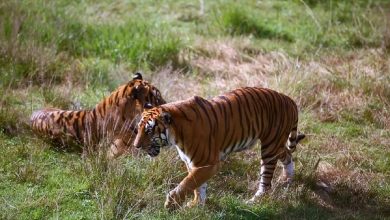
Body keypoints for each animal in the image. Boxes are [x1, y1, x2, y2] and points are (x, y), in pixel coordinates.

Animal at [133, 86, 304, 210]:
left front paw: (170, 203)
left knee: (266, 182)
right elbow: (197, 185)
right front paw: (197, 204)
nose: (136, 146)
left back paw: (254, 201)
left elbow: (187, 183)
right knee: (287, 154)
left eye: (149, 131)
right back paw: (287, 179)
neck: (176, 134)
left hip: (269, 147)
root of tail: (288, 99)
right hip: (275, 144)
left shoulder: (208, 163)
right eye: (138, 128)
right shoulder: (192, 163)